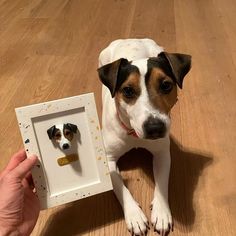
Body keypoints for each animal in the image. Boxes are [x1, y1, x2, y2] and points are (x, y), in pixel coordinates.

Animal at [97, 37, 192, 235]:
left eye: (166, 85)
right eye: (127, 91)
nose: (155, 127)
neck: (135, 135)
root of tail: (131, 39)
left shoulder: (162, 153)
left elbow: (162, 182)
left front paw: (161, 212)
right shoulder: (108, 159)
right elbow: (120, 186)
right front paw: (135, 216)